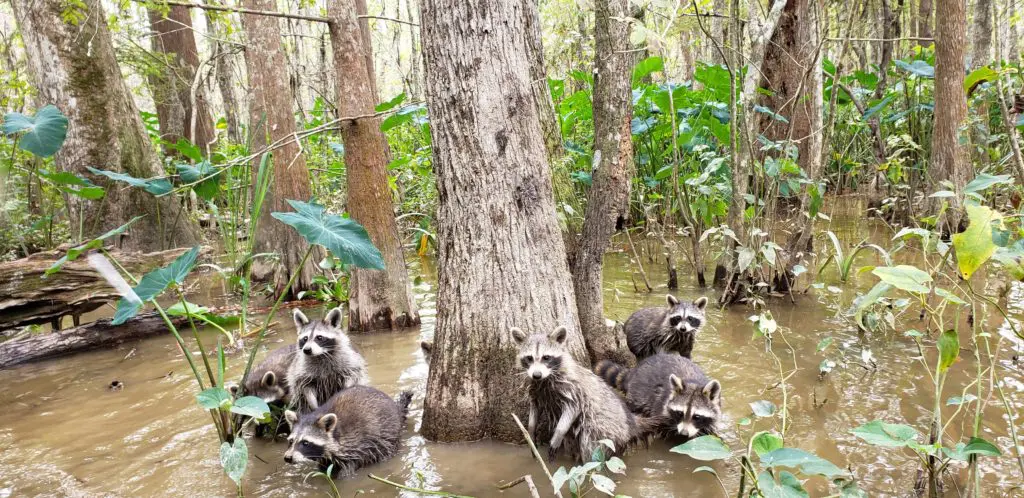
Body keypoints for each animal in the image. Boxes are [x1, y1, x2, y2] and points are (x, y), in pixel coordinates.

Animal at [283, 385, 413, 477]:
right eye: (291, 441)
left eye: (305, 442)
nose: (287, 458)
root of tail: (395, 408)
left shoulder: (356, 446)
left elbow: (348, 471)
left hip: (389, 435)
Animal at [512, 325, 655, 463]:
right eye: (529, 358)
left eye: (546, 357)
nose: (536, 375)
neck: (545, 378)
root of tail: (631, 424)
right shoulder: (536, 391)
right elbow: (534, 409)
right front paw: (530, 431)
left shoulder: (572, 390)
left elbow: (572, 409)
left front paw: (558, 433)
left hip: (603, 434)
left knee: (590, 452)